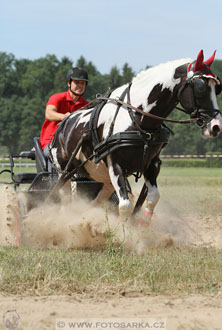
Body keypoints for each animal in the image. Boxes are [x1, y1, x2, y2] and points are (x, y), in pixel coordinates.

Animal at [48, 50, 222, 226]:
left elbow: (152, 198)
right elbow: (125, 205)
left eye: (217, 88)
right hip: (64, 171)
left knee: (94, 202)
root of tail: (63, 124)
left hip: (103, 177)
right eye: (200, 87)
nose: (216, 126)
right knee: (64, 199)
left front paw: (143, 228)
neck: (138, 121)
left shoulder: (151, 164)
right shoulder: (115, 164)